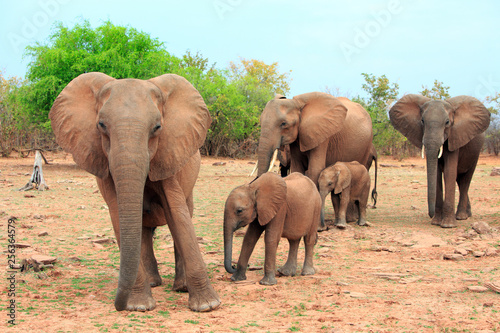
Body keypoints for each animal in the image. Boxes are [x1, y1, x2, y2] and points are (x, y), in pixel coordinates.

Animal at [49, 72, 220, 312]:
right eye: (101, 125)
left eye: (157, 127)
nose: (118, 305)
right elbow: (118, 214)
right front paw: (139, 306)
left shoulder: (167, 153)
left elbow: (177, 214)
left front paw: (207, 306)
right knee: (143, 230)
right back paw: (153, 283)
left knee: (185, 212)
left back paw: (181, 287)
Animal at [390, 94, 488, 227]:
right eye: (422, 121)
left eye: (447, 122)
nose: (430, 215)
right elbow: (437, 173)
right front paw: (436, 222)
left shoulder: (454, 137)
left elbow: (449, 171)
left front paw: (447, 225)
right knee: (458, 180)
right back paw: (467, 214)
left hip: (476, 153)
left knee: (465, 180)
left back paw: (461, 217)